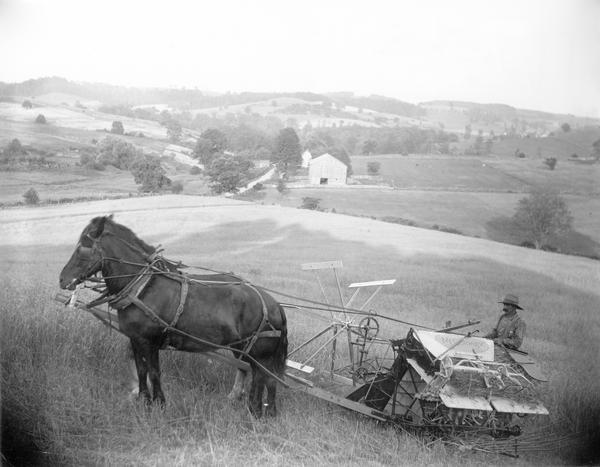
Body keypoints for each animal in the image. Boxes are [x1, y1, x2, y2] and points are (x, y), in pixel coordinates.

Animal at [58, 216, 288, 416]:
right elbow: (141, 370)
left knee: (261, 378)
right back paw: (267, 411)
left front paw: (159, 404)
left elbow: (154, 372)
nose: (62, 279)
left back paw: (256, 411)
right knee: (266, 378)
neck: (143, 288)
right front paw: (144, 400)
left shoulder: (149, 341)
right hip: (247, 349)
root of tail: (274, 304)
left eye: (81, 248)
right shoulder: (135, 339)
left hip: (259, 352)